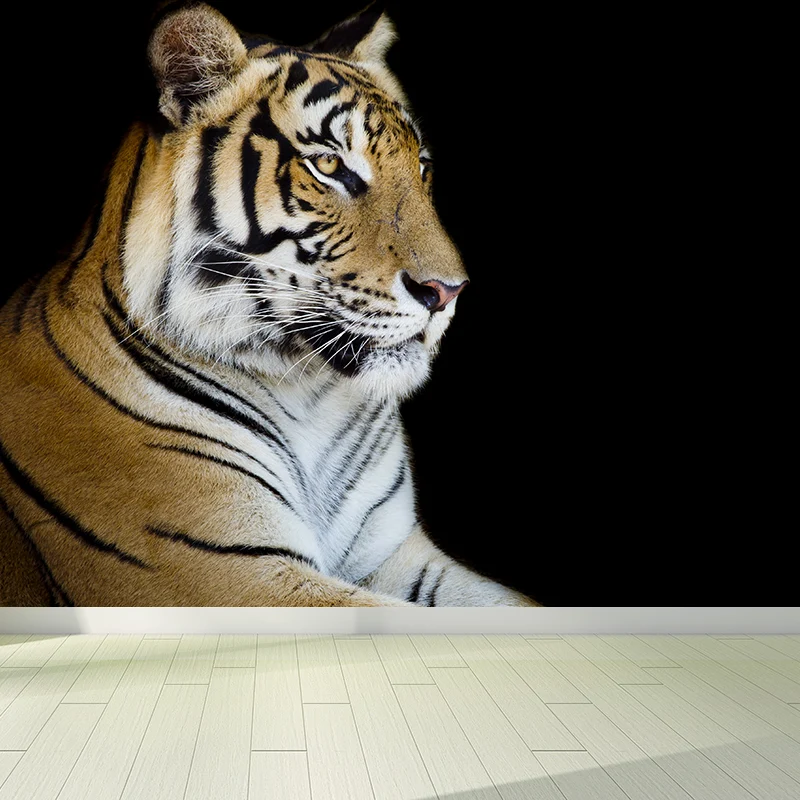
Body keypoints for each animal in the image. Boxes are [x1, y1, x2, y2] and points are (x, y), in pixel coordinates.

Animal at [0, 3, 537, 607]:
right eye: (330, 166)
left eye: (420, 166)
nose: (447, 291)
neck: (309, 394)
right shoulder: (228, 570)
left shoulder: (393, 553)